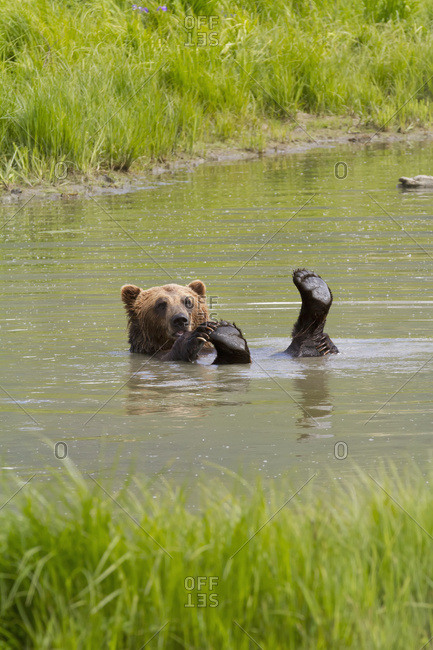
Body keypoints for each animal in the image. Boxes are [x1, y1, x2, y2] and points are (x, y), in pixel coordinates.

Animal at [121, 269, 338, 364]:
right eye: (161, 304)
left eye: (187, 301)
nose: (180, 320)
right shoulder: (152, 355)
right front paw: (195, 336)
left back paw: (313, 285)